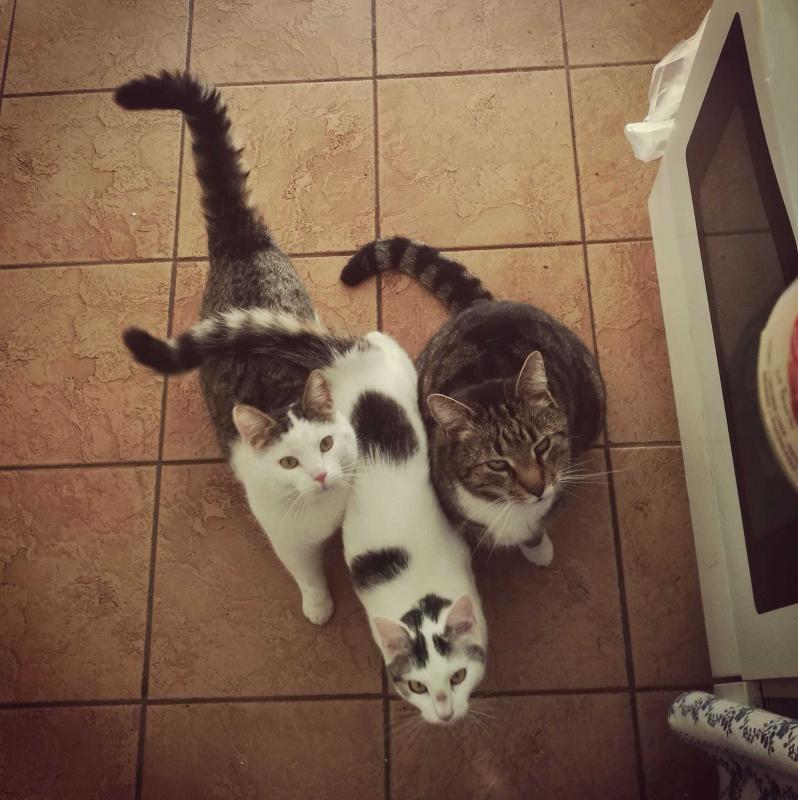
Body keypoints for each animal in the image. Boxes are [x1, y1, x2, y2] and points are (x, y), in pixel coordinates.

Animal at [115, 71, 361, 625]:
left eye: (326, 445)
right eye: (288, 463)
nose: (320, 475)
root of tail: (239, 241)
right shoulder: (287, 537)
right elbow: (306, 571)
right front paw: (319, 604)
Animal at [340, 237, 606, 567]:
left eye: (542, 445)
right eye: (497, 463)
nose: (538, 488)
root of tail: (482, 305)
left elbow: (538, 525)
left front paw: (538, 549)